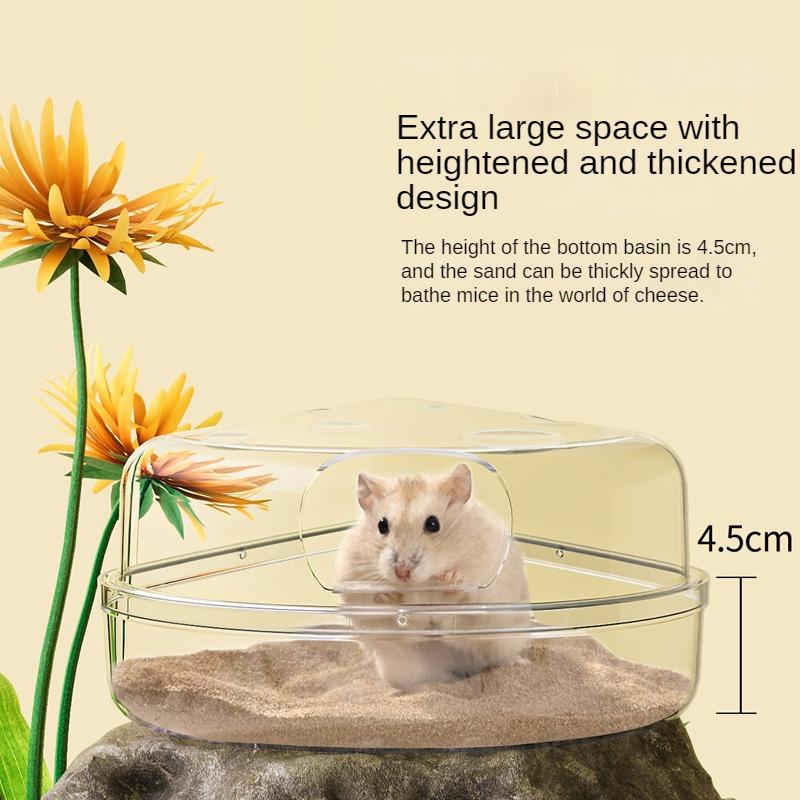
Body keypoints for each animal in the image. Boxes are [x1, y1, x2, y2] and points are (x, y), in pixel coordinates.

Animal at [334, 463, 530, 691]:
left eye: (433, 523)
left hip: (506, 641)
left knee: (497, 658)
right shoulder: (356, 593)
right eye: (382, 525)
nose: (402, 571)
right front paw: (388, 597)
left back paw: (519, 663)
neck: (421, 584)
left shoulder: (488, 593)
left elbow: (465, 604)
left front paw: (451, 579)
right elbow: (396, 621)